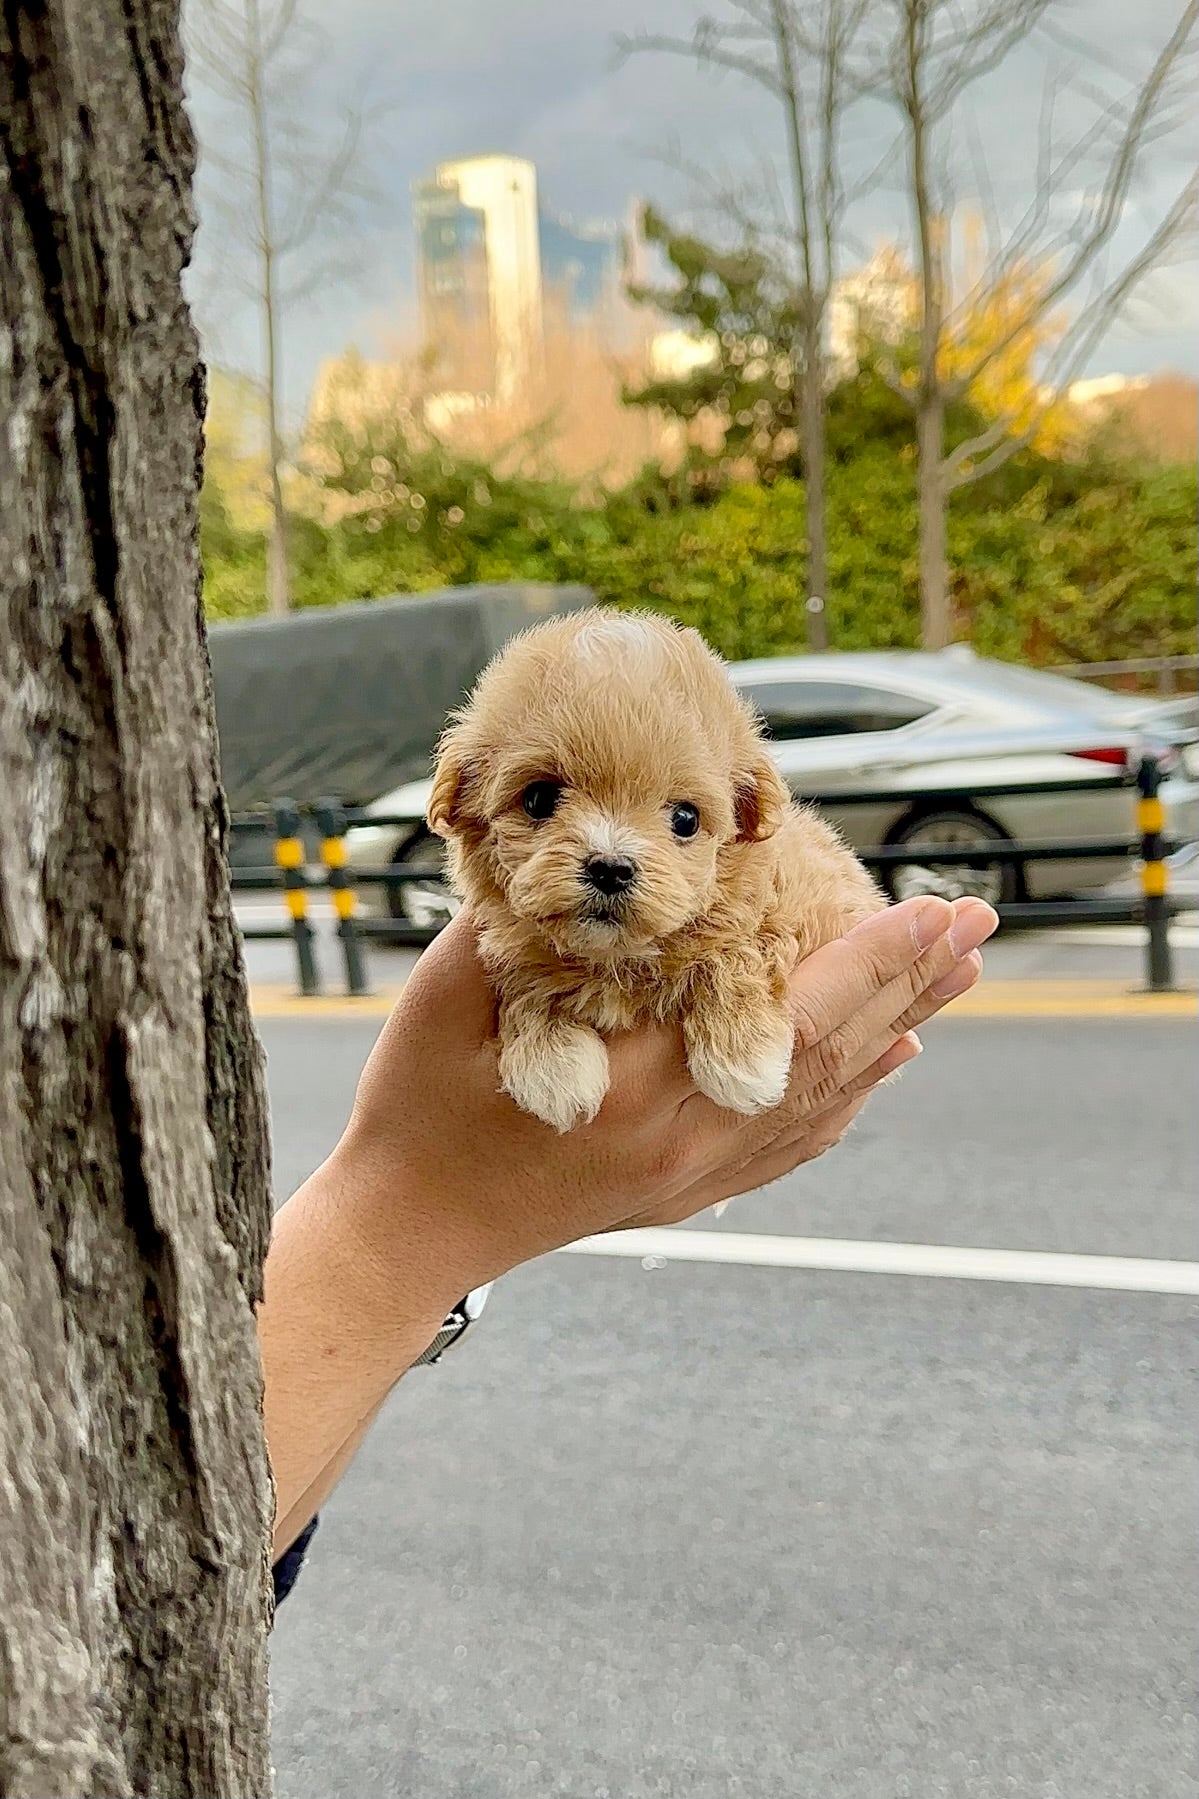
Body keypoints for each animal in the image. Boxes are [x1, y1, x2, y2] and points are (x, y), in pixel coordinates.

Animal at [424, 611, 882, 1129]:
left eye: (685, 819)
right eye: (538, 799)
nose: (610, 868)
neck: (619, 959)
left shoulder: (791, 902)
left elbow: (736, 951)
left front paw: (744, 1056)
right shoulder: (514, 941)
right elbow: (528, 981)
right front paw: (552, 1064)